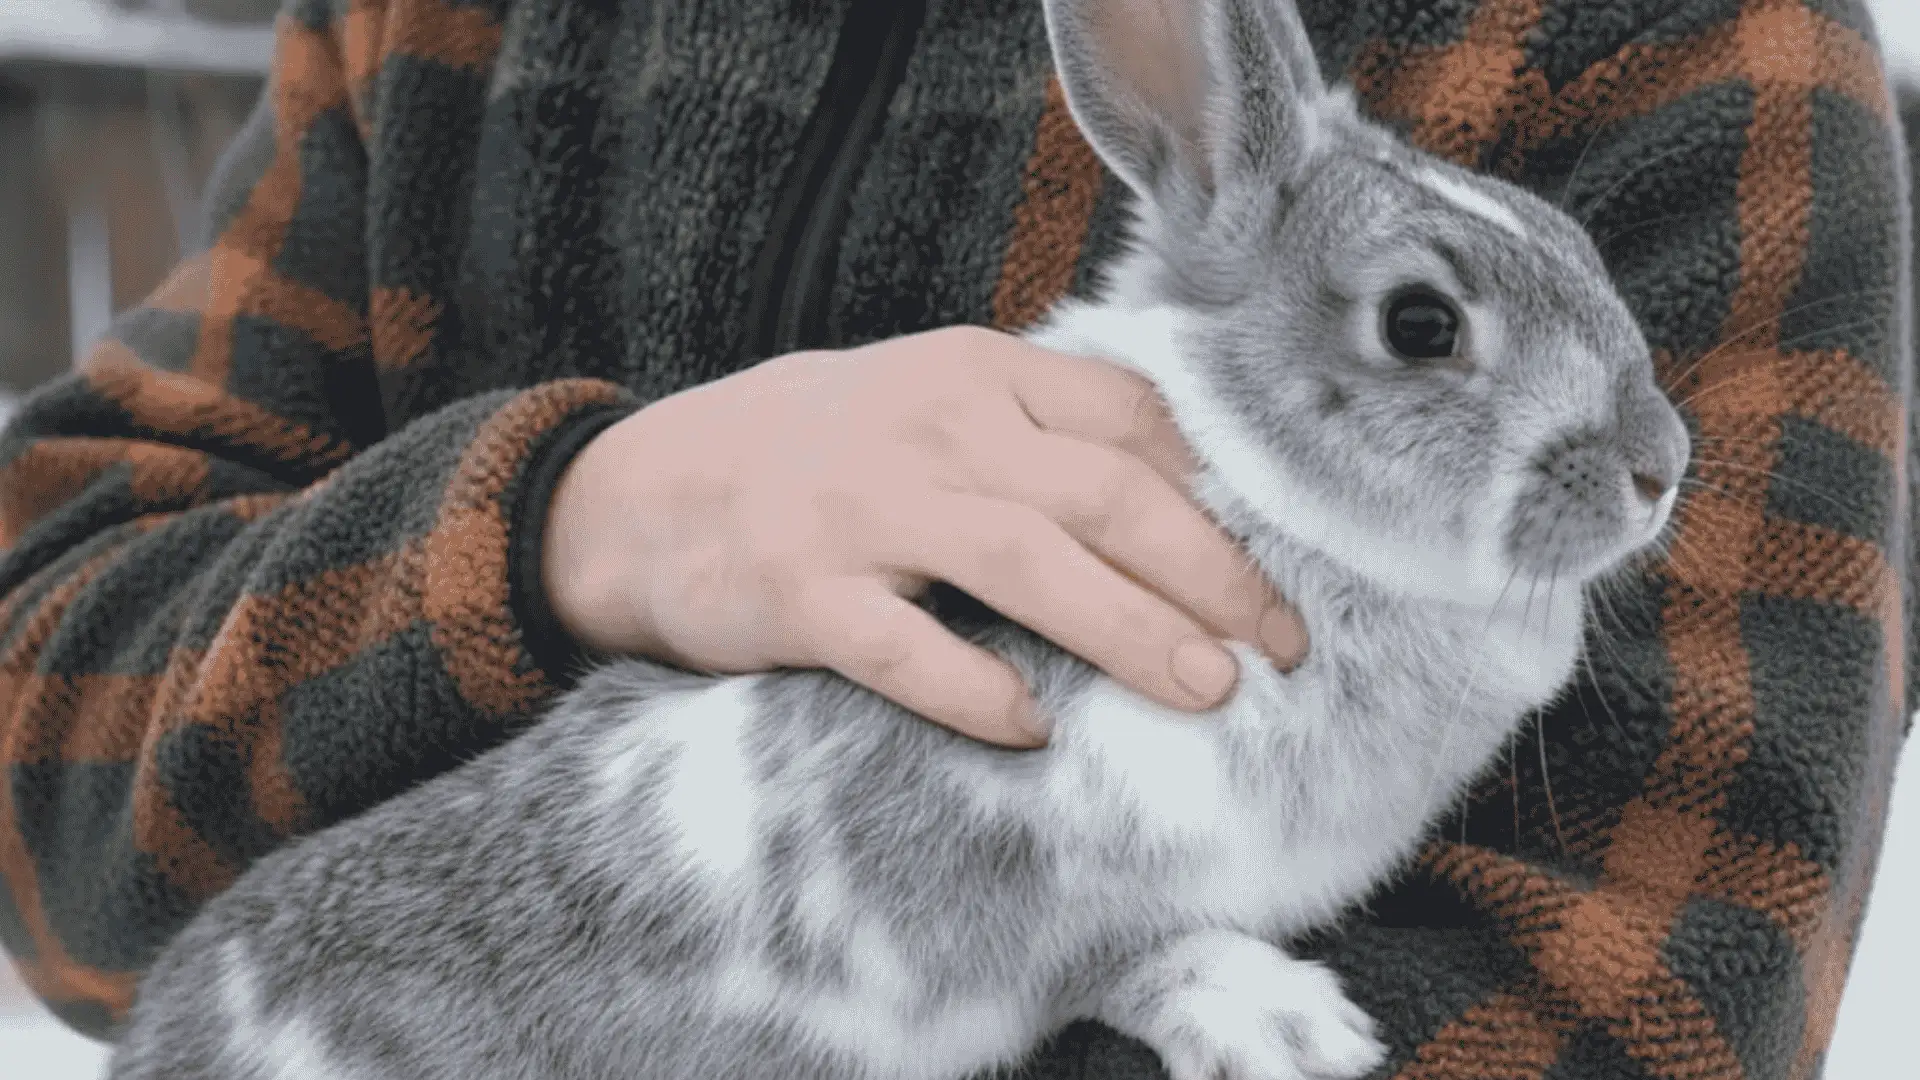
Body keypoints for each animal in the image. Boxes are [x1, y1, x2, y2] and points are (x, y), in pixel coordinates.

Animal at [105, 0, 1690, 1078]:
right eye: (1421, 323)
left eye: (1571, 236)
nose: (1659, 467)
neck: (1265, 502)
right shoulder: (996, 874)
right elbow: (1123, 947)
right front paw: (1288, 1025)